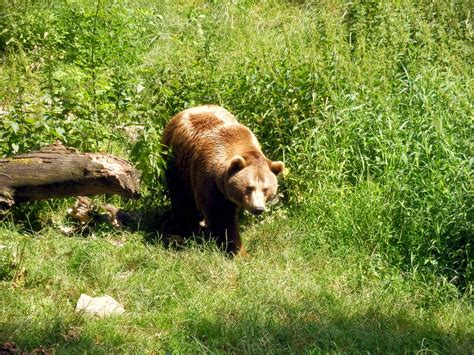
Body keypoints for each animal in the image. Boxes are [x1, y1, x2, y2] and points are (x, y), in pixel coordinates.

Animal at [161, 105, 284, 256]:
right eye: (249, 187)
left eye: (266, 189)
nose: (258, 208)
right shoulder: (210, 181)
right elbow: (221, 216)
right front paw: (237, 250)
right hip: (176, 163)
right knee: (181, 198)